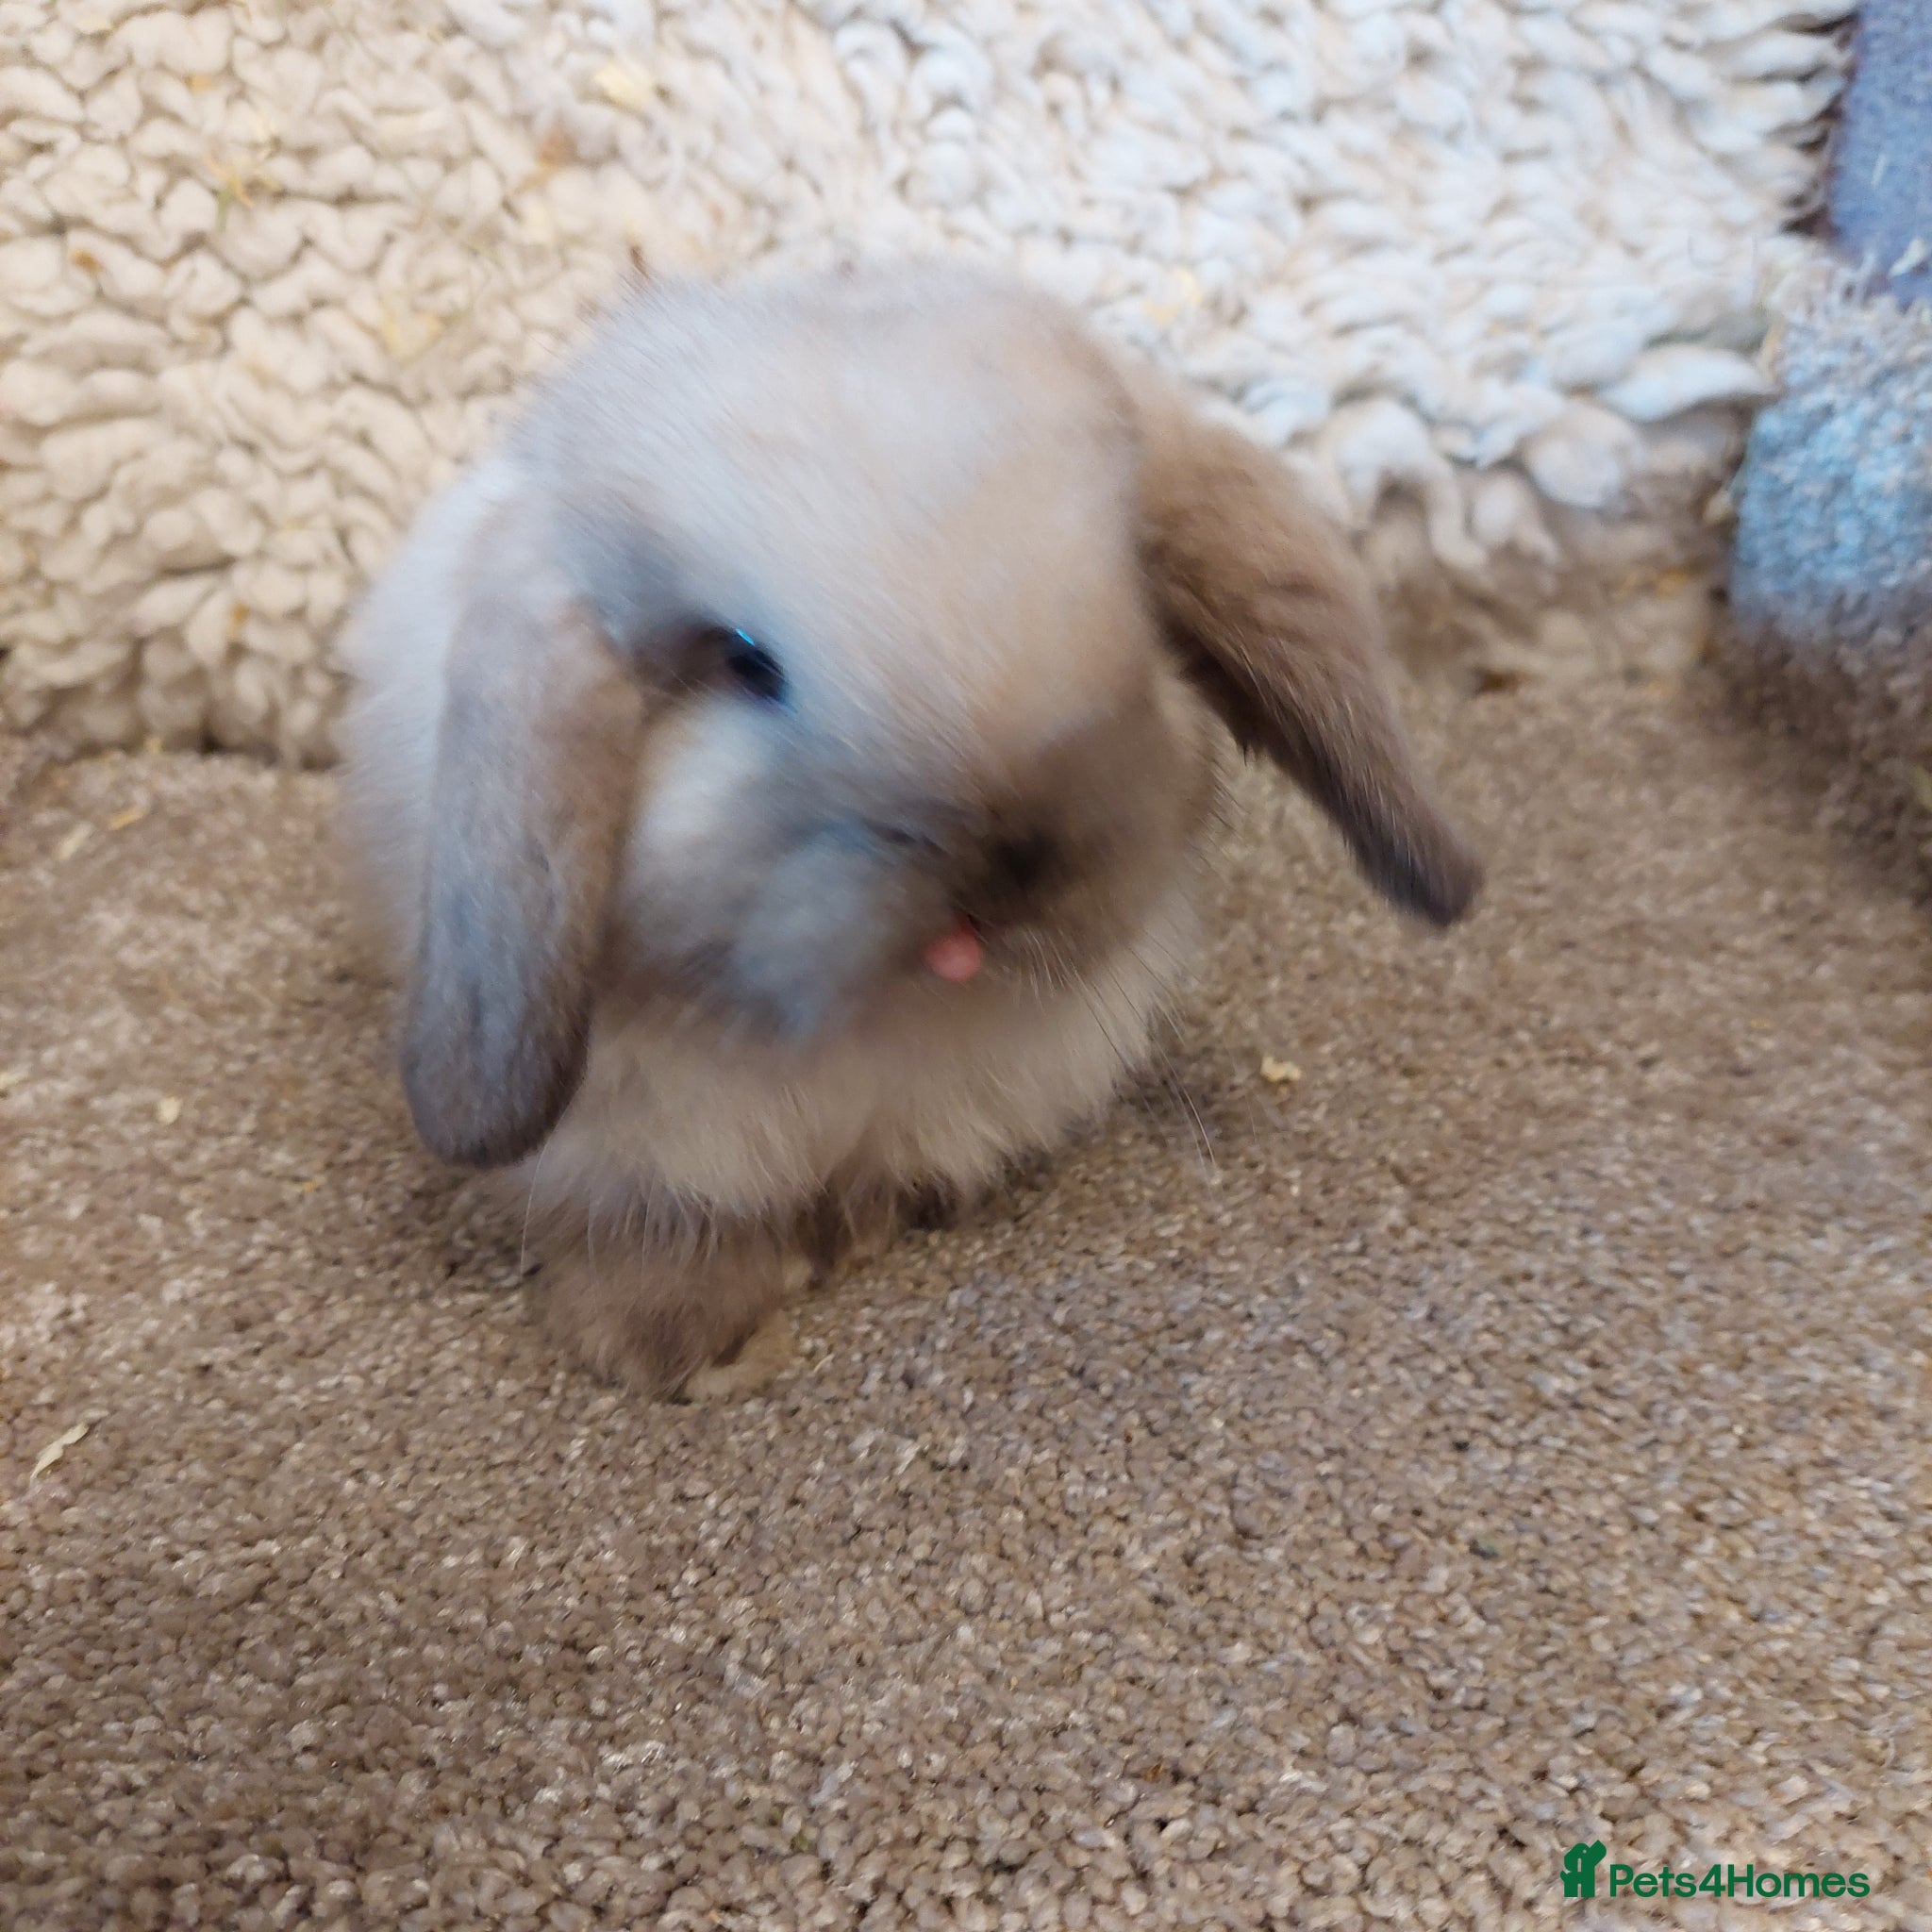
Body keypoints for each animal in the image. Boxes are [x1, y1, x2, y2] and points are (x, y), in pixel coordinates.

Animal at [337, 261, 1480, 1399]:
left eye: (1128, 604)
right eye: (746, 662)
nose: (1010, 877)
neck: (863, 1030)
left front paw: (854, 1229)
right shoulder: (637, 1141)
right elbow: (667, 1224)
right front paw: (665, 1345)